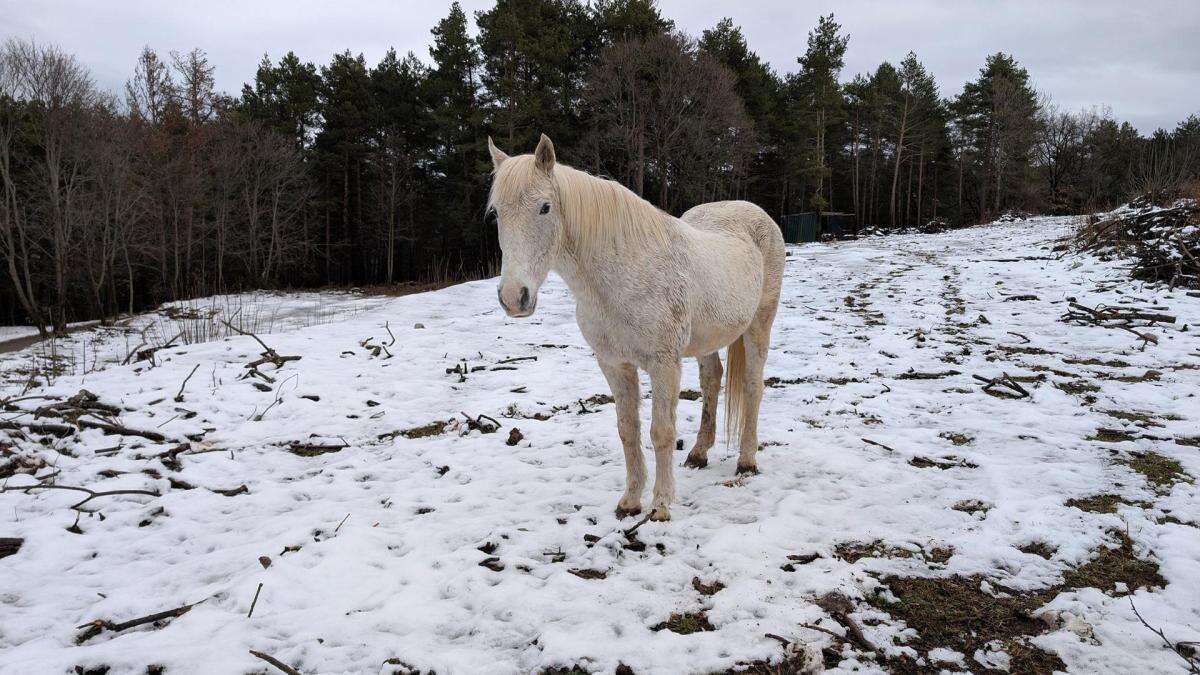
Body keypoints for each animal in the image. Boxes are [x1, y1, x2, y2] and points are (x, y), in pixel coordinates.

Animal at [487, 132, 787, 521]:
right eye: (496, 213)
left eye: (545, 207)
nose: (513, 297)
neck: (622, 276)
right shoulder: (614, 364)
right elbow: (628, 430)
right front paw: (629, 502)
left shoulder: (664, 364)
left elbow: (661, 432)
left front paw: (660, 506)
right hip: (707, 339)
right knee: (712, 380)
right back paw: (698, 454)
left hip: (758, 326)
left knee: (752, 386)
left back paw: (747, 461)